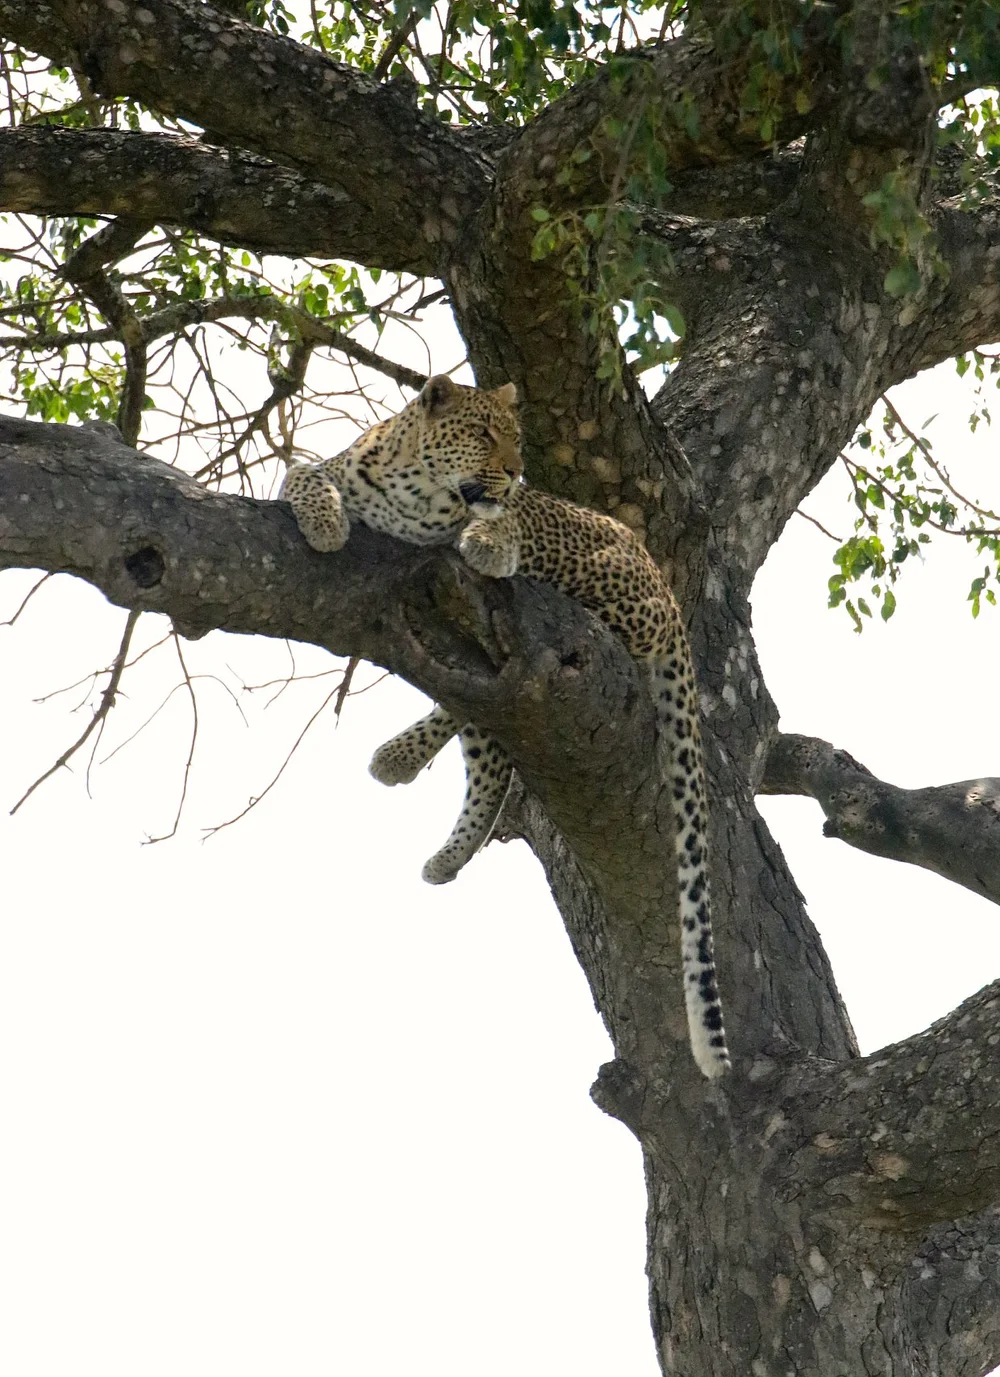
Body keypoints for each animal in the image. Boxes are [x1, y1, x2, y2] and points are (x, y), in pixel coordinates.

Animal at [281, 374, 730, 1080]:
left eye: (516, 438)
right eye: (485, 433)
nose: (518, 472)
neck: (414, 490)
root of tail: (666, 587)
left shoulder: (502, 521)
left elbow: (496, 524)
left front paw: (486, 540)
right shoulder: (332, 469)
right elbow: (303, 473)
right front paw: (325, 525)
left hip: (593, 578)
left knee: (490, 694)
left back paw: (402, 761)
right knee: (484, 739)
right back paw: (434, 830)